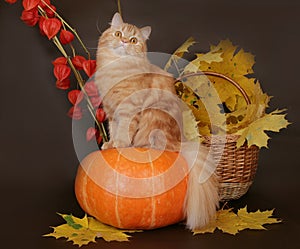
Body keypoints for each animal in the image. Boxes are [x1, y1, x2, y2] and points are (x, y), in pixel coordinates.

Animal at [94, 12, 218, 230]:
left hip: (154, 120)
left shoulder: (128, 109)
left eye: (133, 40)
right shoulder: (111, 110)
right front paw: (110, 144)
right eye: (118, 34)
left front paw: (120, 145)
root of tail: (179, 142)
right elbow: (113, 129)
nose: (124, 42)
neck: (116, 69)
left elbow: (123, 130)